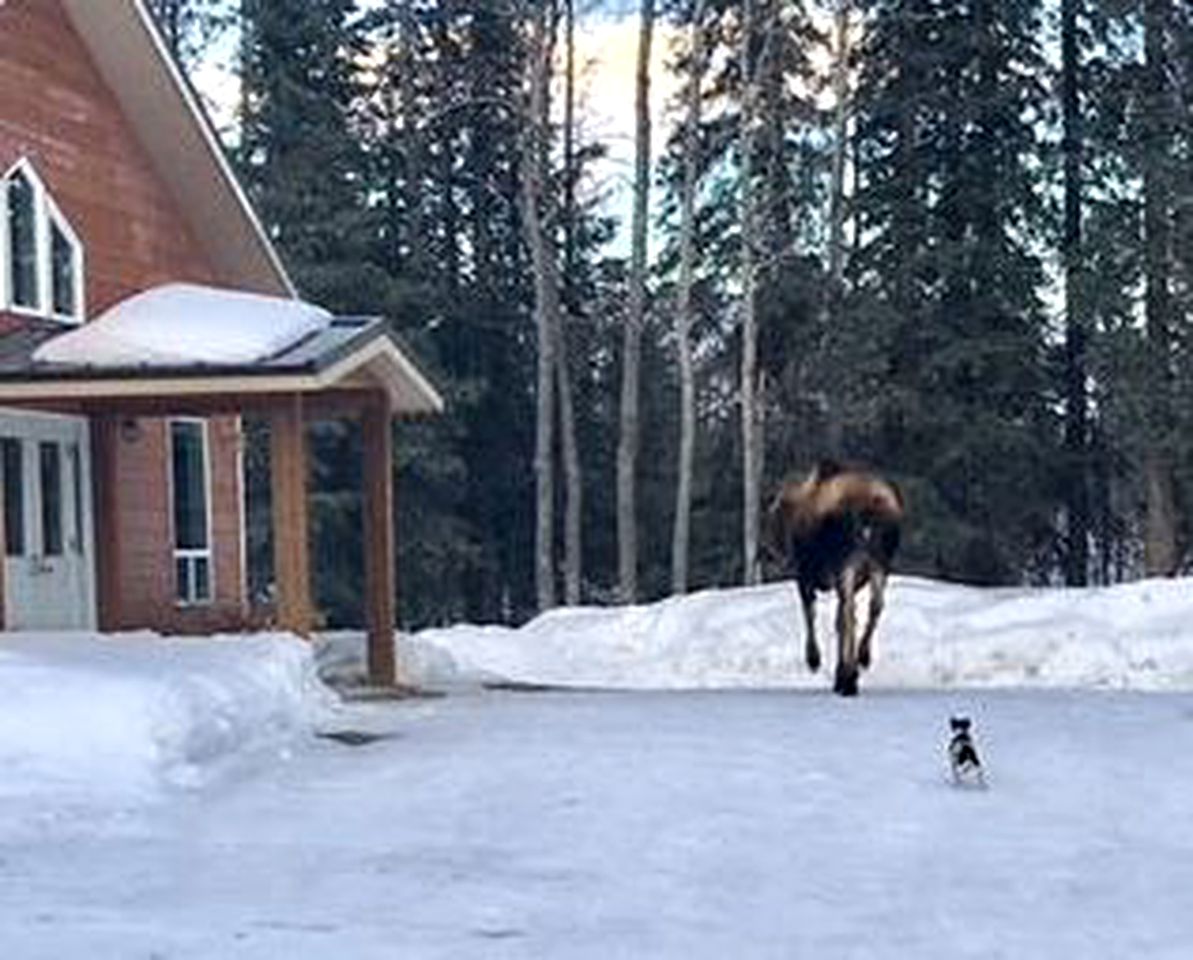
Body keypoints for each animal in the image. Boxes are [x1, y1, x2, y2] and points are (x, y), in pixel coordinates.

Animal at [763, 457, 901, 691]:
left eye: (775, 513)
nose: (769, 549)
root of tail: (871, 511)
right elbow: (838, 621)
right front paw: (839, 670)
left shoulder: (805, 573)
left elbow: (810, 613)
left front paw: (815, 660)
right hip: (879, 563)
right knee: (874, 606)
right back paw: (861, 659)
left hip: (846, 562)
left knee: (850, 612)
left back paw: (849, 675)